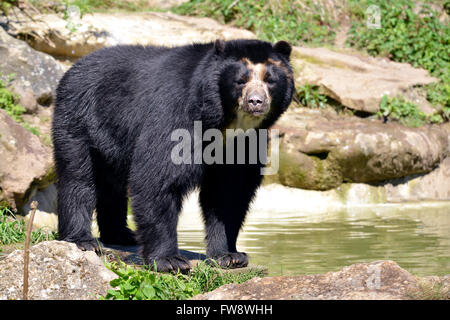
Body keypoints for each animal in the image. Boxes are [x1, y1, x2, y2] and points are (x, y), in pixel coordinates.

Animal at [53, 38, 296, 272]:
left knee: (112, 185)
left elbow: (229, 192)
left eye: (270, 80)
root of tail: (75, 66)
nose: (255, 101)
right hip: (80, 120)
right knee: (78, 178)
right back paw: (83, 240)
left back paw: (121, 235)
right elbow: (158, 178)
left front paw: (230, 256)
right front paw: (170, 261)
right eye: (240, 80)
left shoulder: (244, 143)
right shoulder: (176, 114)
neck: (224, 122)